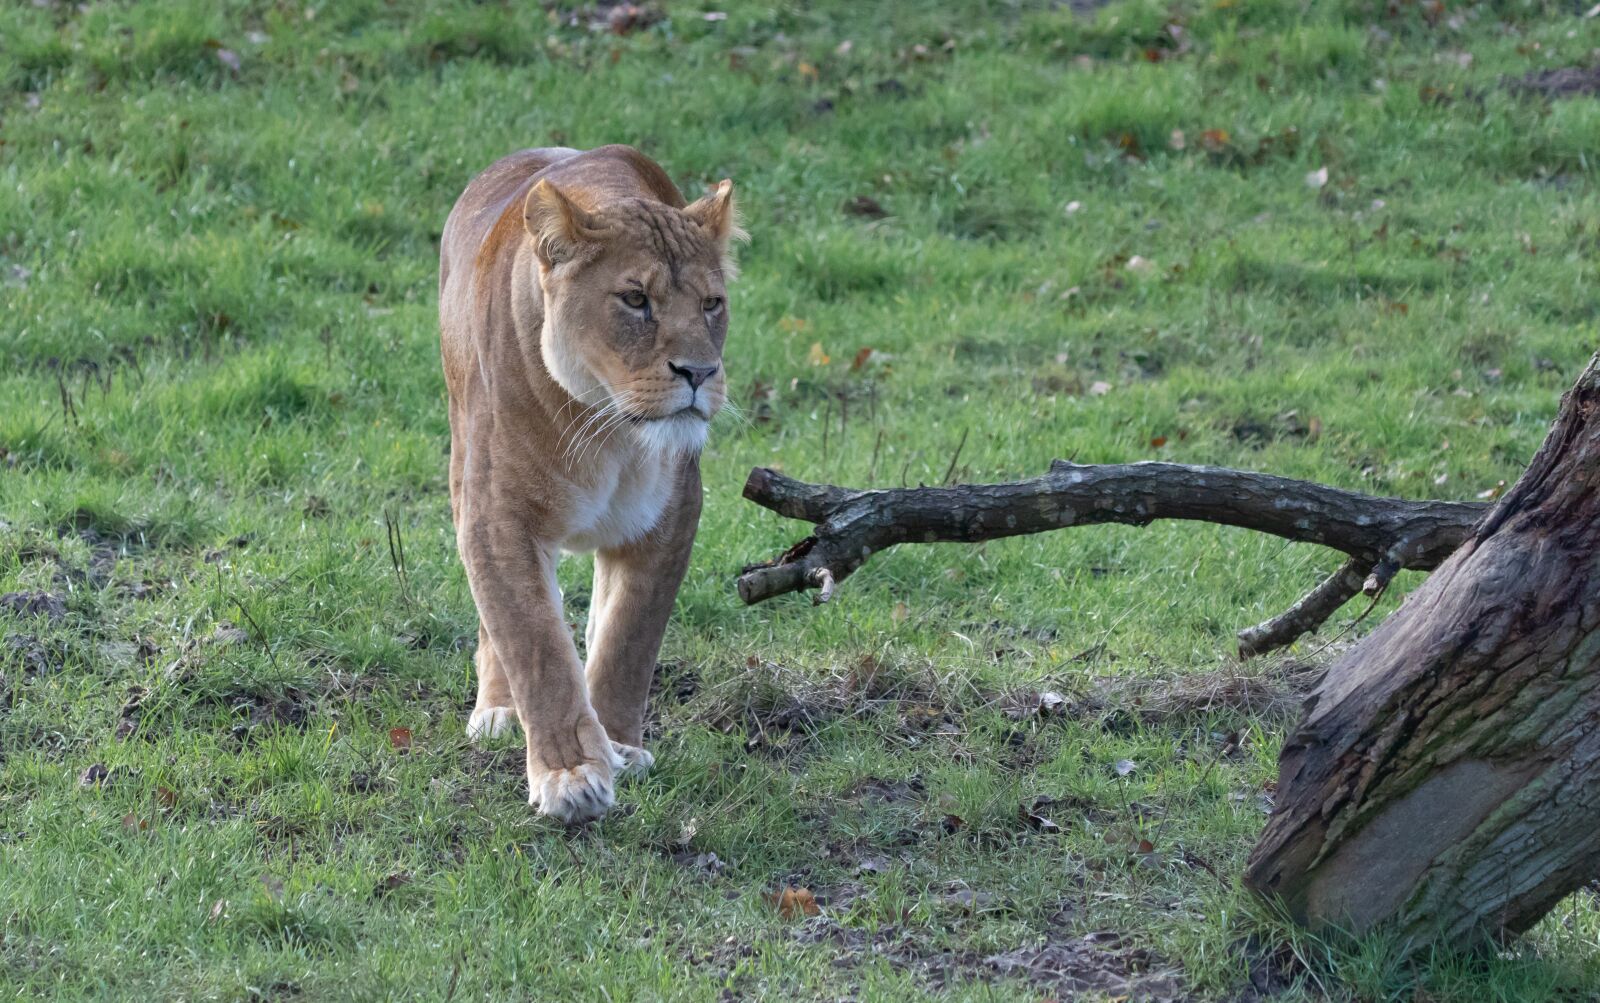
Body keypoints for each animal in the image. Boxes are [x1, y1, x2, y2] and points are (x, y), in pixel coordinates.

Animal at [438, 145, 741, 822]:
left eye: (711, 304)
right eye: (635, 299)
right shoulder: (497, 519)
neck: (610, 433)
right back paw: (498, 710)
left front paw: (619, 748)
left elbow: (628, 639)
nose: (700, 372)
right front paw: (571, 774)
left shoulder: (669, 518)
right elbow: (536, 647)